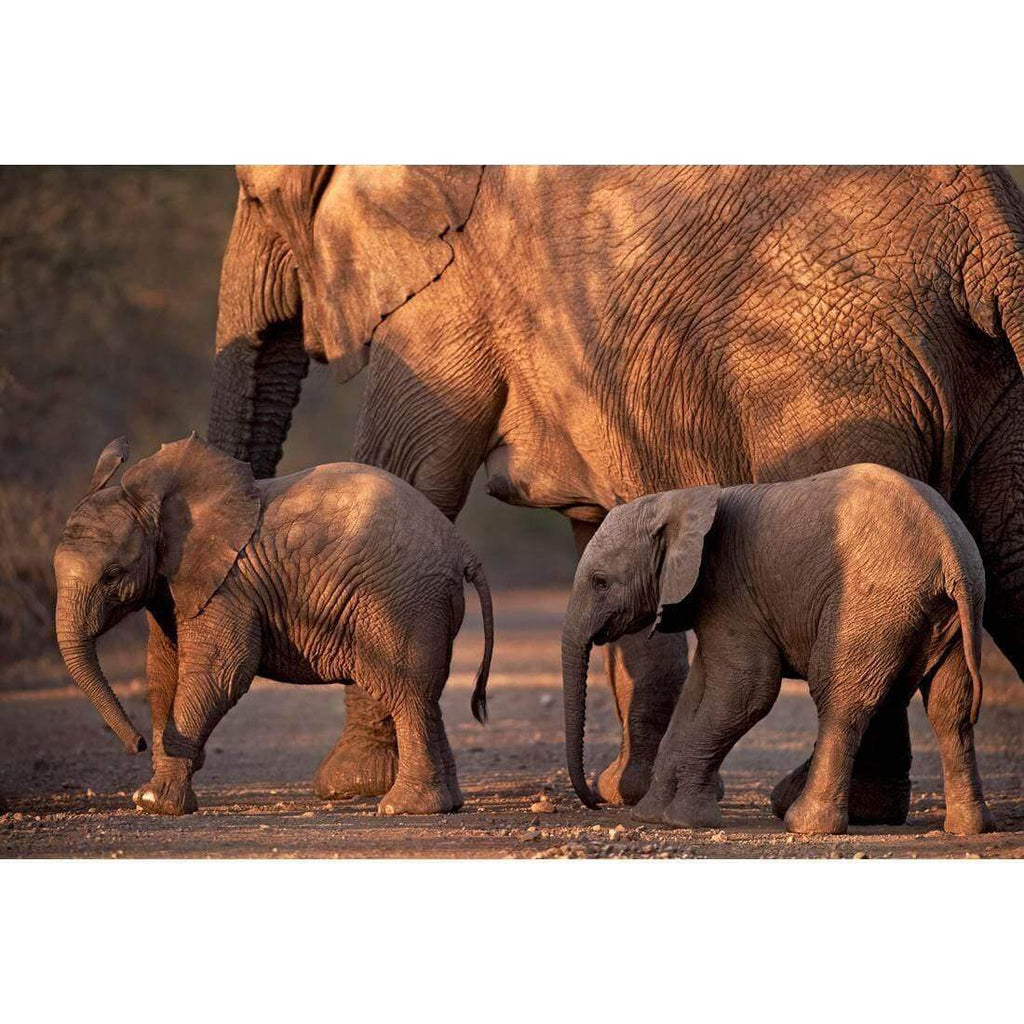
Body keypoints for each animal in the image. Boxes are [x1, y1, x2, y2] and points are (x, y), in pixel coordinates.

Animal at [53, 435, 493, 816]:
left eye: (112, 575)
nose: (139, 743)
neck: (158, 505)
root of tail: (462, 547)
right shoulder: (170, 587)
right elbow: (162, 672)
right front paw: (155, 794)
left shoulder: (227, 585)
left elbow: (220, 672)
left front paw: (153, 802)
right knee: (425, 695)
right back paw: (445, 805)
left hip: (403, 601)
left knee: (406, 691)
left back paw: (401, 808)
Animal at [561, 465, 995, 836]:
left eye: (600, 582)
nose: (594, 803)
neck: (681, 501)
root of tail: (949, 547)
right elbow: (697, 694)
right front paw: (651, 815)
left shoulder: (730, 589)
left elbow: (747, 692)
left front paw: (684, 820)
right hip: (950, 612)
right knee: (950, 709)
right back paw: (968, 828)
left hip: (873, 601)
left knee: (838, 698)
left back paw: (805, 825)